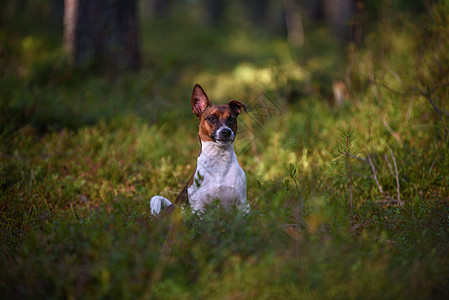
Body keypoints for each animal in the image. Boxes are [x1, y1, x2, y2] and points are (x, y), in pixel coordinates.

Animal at [150, 84, 248, 216]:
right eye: (211, 118)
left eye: (231, 118)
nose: (226, 132)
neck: (219, 159)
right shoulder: (198, 208)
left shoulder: (243, 204)